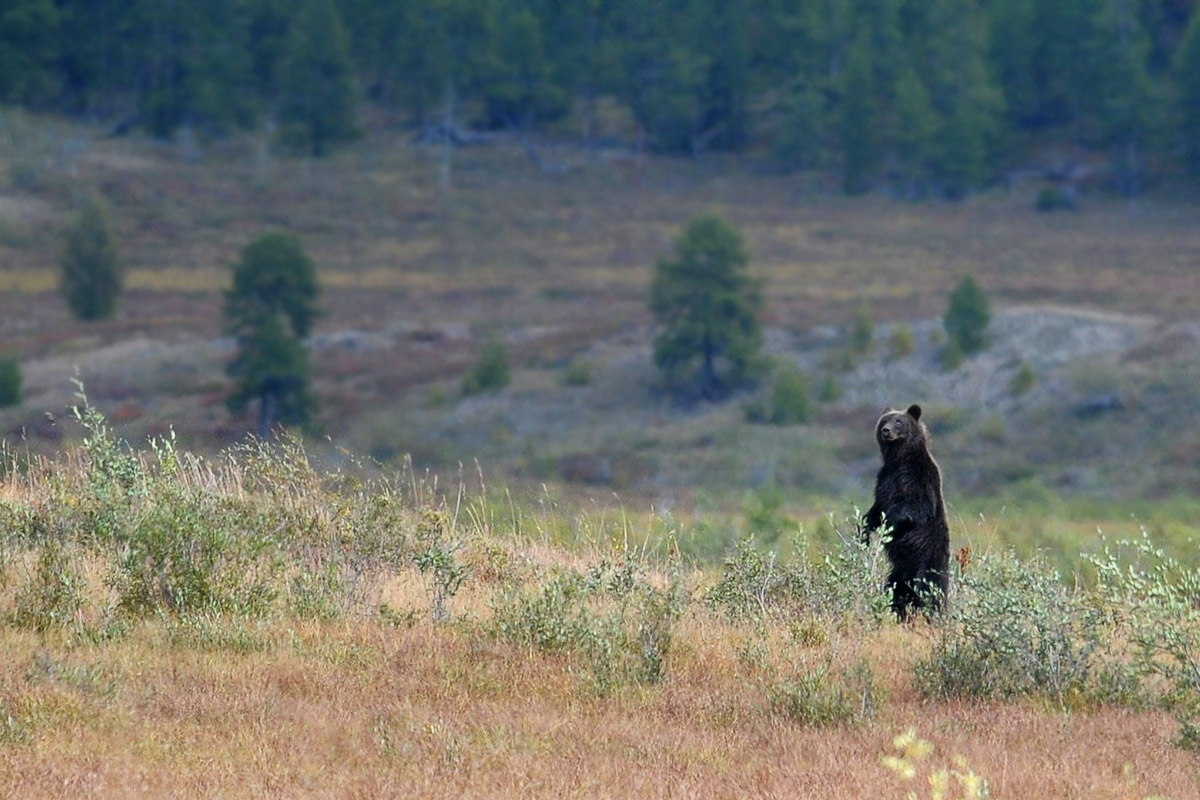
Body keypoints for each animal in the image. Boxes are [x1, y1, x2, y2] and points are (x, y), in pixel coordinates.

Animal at [868, 407, 950, 618]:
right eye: (885, 420)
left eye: (899, 421)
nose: (886, 431)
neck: (899, 459)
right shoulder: (884, 479)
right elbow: (876, 508)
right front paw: (864, 530)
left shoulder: (917, 477)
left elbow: (917, 506)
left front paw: (888, 524)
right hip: (899, 572)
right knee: (895, 590)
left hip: (928, 559)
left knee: (930, 589)